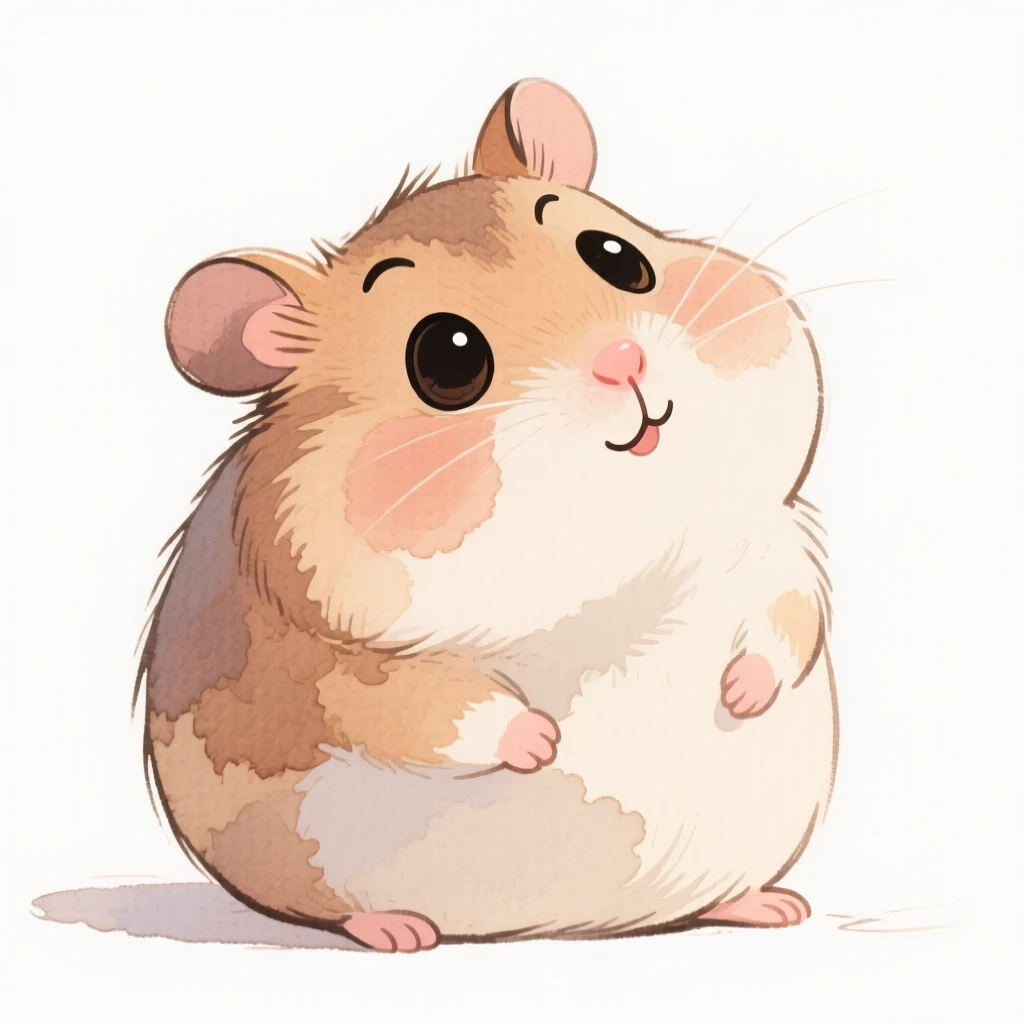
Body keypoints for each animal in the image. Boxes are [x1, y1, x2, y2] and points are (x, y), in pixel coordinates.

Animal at [139, 78, 837, 952]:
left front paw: (741, 695)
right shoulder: (338, 661)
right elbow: (428, 708)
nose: (623, 362)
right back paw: (400, 933)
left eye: (618, 257)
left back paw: (773, 906)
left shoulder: (768, 546)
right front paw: (545, 742)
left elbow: (788, 621)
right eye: (446, 356)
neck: (623, 550)